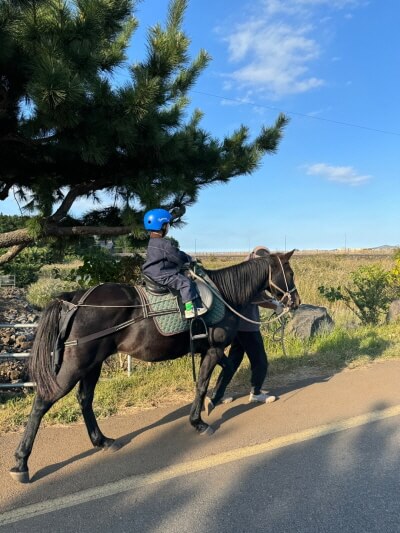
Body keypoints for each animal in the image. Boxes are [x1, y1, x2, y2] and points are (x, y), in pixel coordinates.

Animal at [9, 250, 300, 482]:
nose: (295, 302)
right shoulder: (214, 349)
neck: (224, 294)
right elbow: (202, 384)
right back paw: (21, 462)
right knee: (43, 401)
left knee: (85, 399)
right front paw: (199, 421)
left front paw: (214, 401)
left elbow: (225, 371)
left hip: (93, 364)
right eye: (290, 272)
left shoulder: (210, 350)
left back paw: (103, 441)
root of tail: (76, 298)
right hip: (77, 363)